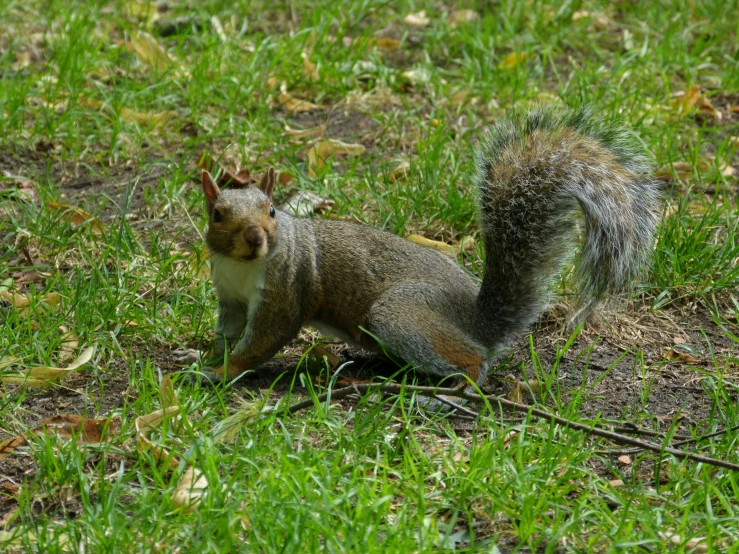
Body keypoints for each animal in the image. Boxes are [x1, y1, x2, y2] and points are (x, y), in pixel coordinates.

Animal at [191, 105, 660, 386]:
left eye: (271, 210)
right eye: (217, 215)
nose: (256, 238)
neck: (243, 266)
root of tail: (477, 320)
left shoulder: (285, 289)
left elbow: (262, 340)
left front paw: (219, 373)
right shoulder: (230, 298)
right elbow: (227, 333)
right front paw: (202, 356)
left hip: (399, 315)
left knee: (473, 361)